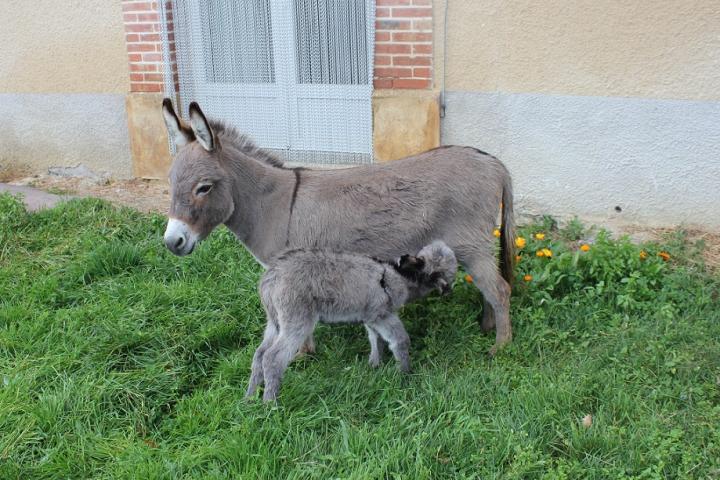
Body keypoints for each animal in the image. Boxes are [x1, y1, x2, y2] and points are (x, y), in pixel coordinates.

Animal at [246, 240, 456, 402]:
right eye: (446, 272)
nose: (449, 289)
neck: (398, 276)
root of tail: (271, 277)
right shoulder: (382, 314)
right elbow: (400, 340)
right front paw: (404, 374)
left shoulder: (371, 316)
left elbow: (375, 338)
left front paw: (375, 364)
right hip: (297, 319)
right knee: (272, 357)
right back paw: (270, 403)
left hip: (274, 321)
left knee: (259, 354)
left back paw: (250, 398)